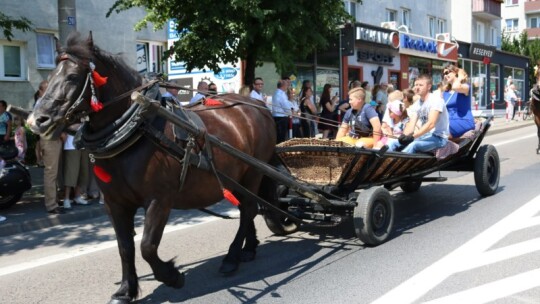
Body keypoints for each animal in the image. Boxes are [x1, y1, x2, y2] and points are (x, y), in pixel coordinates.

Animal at [27, 32, 276, 302]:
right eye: (50, 77)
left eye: (72, 76)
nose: (36, 121)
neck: (135, 130)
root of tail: (260, 107)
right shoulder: (114, 203)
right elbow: (125, 247)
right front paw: (125, 290)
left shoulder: (159, 200)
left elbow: (147, 246)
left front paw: (172, 276)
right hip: (237, 179)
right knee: (246, 209)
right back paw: (249, 248)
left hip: (253, 173)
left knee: (248, 209)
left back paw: (232, 257)